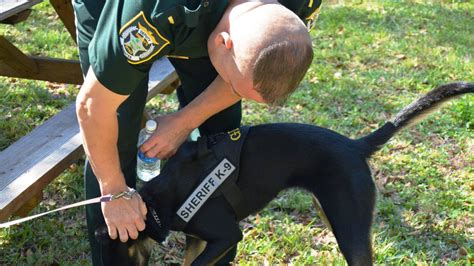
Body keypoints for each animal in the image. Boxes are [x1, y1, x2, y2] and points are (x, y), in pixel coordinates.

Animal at [94, 82, 472, 264]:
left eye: (115, 257)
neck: (158, 199)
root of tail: (354, 146)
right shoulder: (198, 240)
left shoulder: (226, 236)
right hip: (334, 214)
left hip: (349, 227)